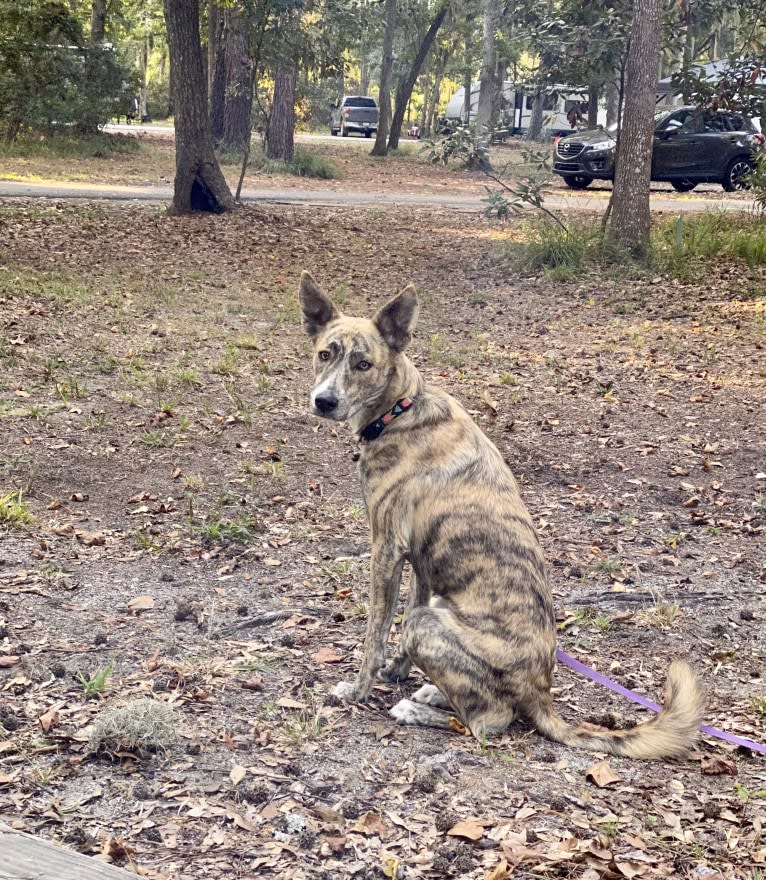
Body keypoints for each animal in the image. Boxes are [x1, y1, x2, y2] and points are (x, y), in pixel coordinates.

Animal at [302, 272, 708, 760]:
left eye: (363, 364)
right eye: (325, 354)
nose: (323, 401)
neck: (401, 408)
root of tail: (541, 690)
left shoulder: (386, 549)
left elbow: (376, 633)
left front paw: (360, 689)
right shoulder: (421, 562)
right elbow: (402, 624)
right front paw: (398, 671)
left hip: (433, 631)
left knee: (488, 721)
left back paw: (416, 710)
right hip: (439, 611)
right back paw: (432, 691)